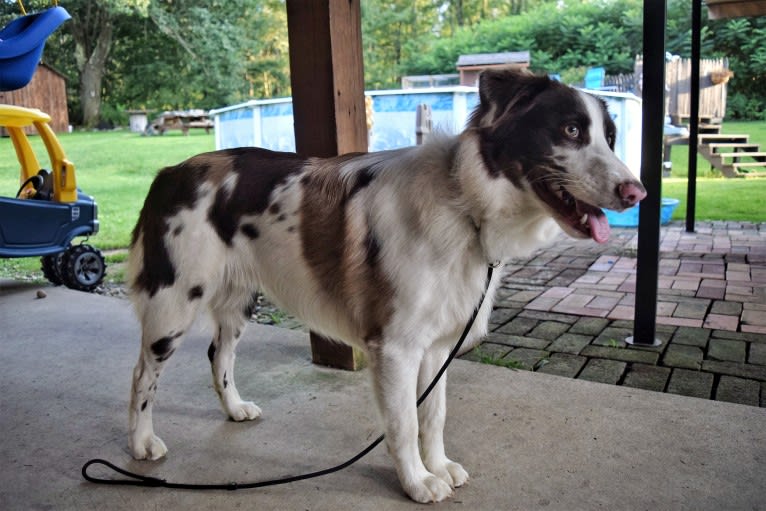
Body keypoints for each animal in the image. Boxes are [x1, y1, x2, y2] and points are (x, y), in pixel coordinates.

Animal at [126, 69, 648, 504]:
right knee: (141, 376)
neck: (466, 205)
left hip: (237, 303)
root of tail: (171, 172)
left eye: (610, 137)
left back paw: (233, 409)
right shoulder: (396, 348)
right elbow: (403, 422)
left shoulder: (436, 347)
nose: (636, 192)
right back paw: (140, 442)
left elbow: (433, 415)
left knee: (220, 355)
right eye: (570, 131)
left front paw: (438, 466)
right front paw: (416, 482)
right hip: (173, 306)